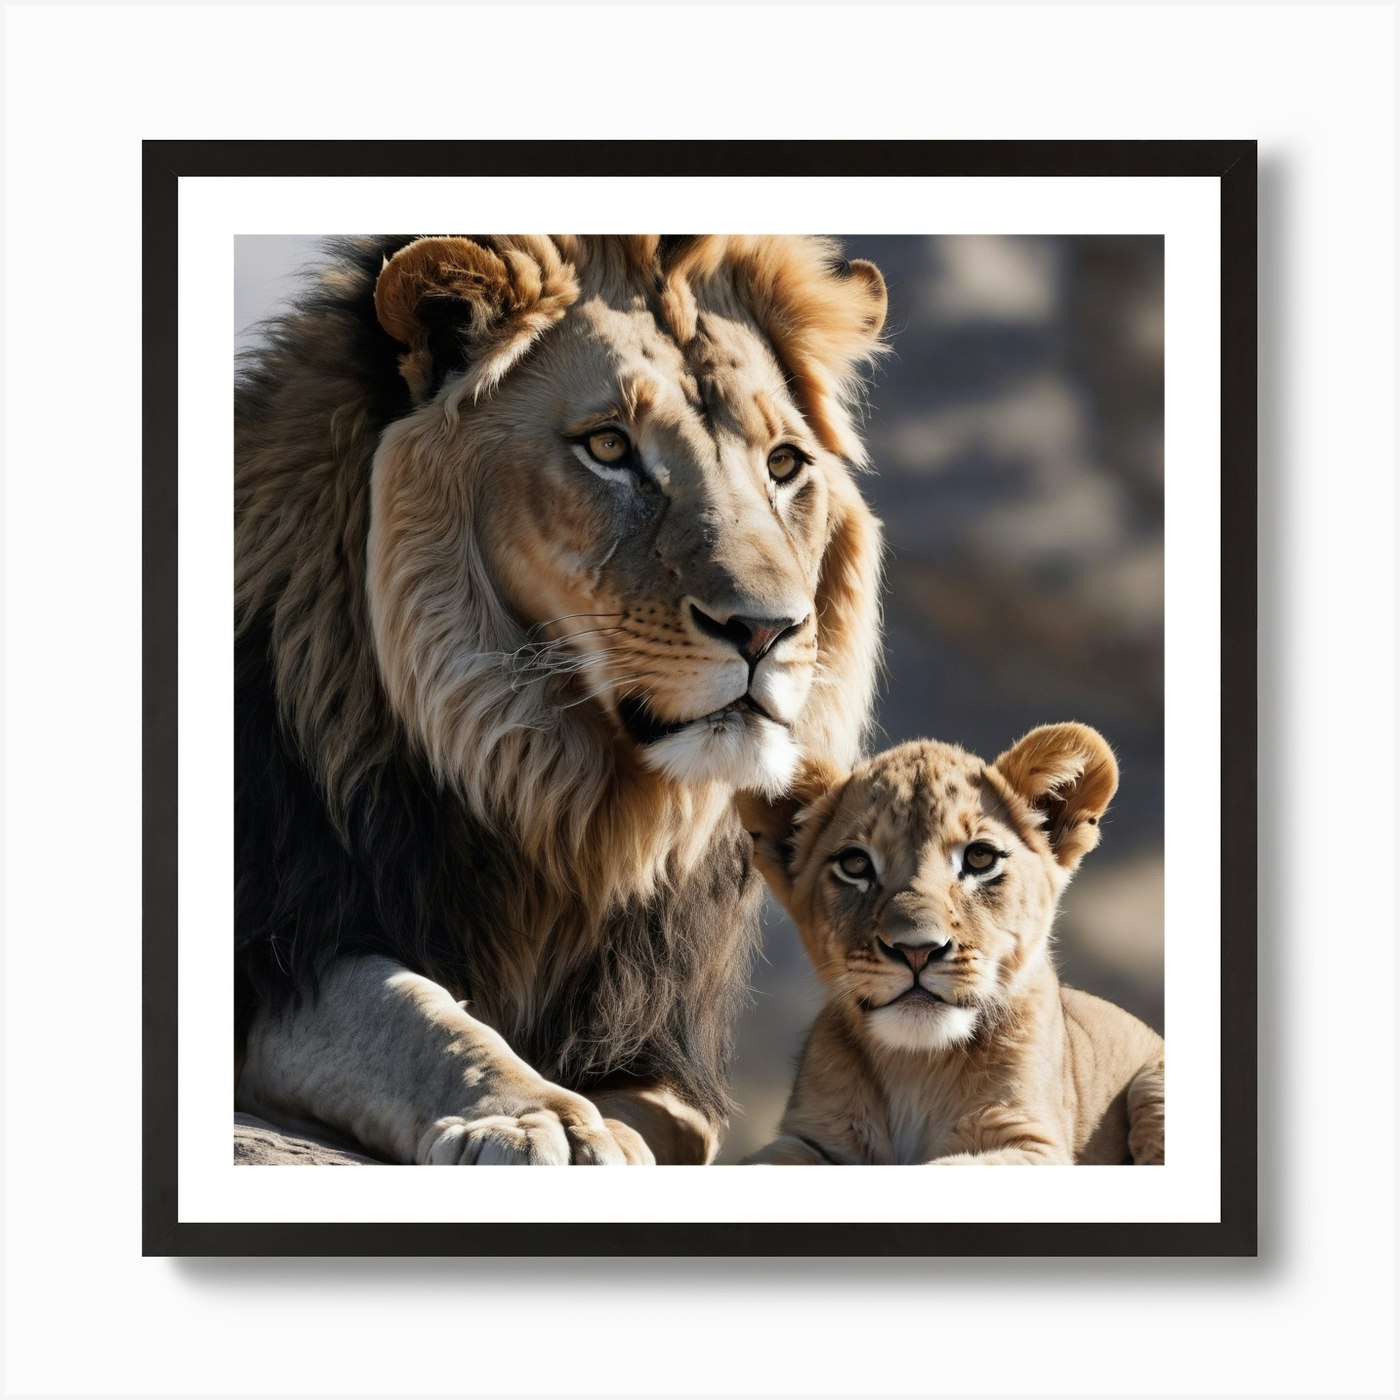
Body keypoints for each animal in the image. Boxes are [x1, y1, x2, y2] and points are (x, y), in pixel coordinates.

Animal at [234, 235, 888, 1164]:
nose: (766, 630)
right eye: (608, 446)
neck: (564, 808)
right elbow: (408, 1012)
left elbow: (674, 1125)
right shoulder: (277, 958)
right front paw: (536, 1115)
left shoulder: (654, 1043)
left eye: (785, 464)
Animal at [737, 724, 1165, 1165]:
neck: (915, 1068)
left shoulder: (1032, 1142)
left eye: (979, 858)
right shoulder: (809, 1136)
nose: (916, 950)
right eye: (855, 864)